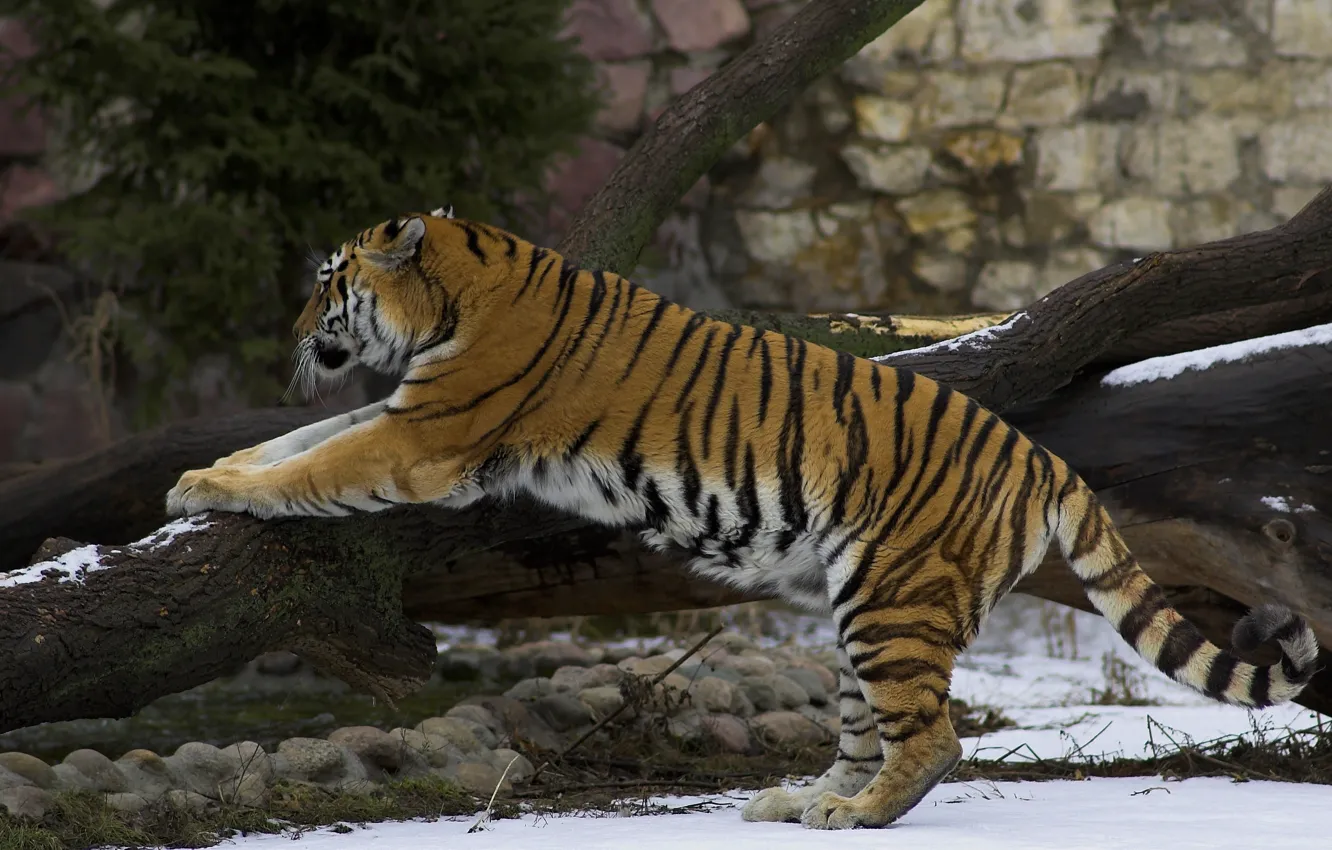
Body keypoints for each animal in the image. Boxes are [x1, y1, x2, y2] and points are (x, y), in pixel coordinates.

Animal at [166, 207, 1319, 829]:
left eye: (328, 281)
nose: (295, 331)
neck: (458, 289)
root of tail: (1039, 454)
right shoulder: (404, 412)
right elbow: (304, 439)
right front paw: (198, 472)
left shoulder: (423, 439)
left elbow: (321, 462)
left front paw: (210, 491)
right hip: (861, 610)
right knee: (866, 727)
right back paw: (795, 802)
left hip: (892, 597)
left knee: (934, 736)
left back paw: (855, 813)